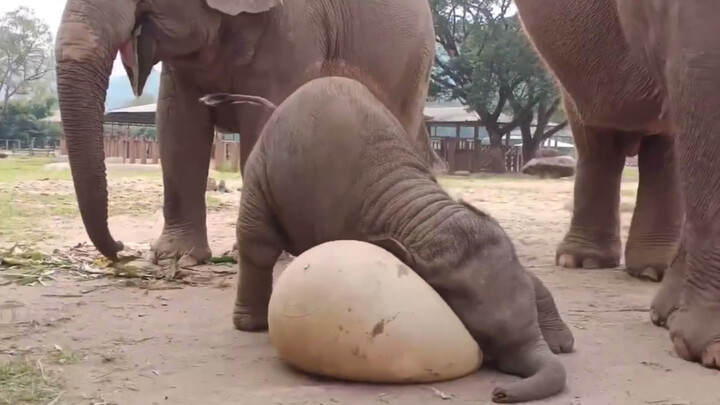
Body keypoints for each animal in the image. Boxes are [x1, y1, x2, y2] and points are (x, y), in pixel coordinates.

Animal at [54, 0, 444, 262]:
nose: (122, 250)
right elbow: (179, 129)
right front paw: (176, 258)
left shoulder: (295, 27)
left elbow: (263, 122)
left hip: (414, 63)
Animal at [200, 75, 572, 400]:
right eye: (487, 337)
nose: (498, 392)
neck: (424, 214)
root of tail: (279, 106)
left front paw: (562, 343)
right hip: (260, 171)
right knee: (258, 243)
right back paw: (250, 324)